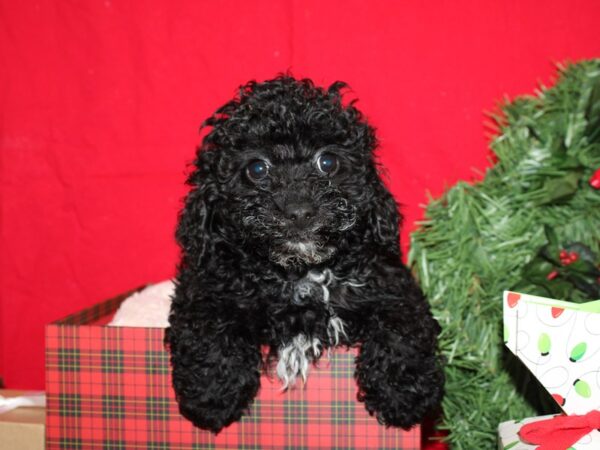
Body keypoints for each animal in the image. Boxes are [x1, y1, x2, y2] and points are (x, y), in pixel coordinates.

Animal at [166, 75, 442, 434]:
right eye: (257, 168)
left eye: (328, 163)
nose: (299, 211)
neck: (297, 273)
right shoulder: (207, 280)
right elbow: (207, 325)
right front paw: (212, 394)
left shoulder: (388, 279)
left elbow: (402, 324)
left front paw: (402, 394)